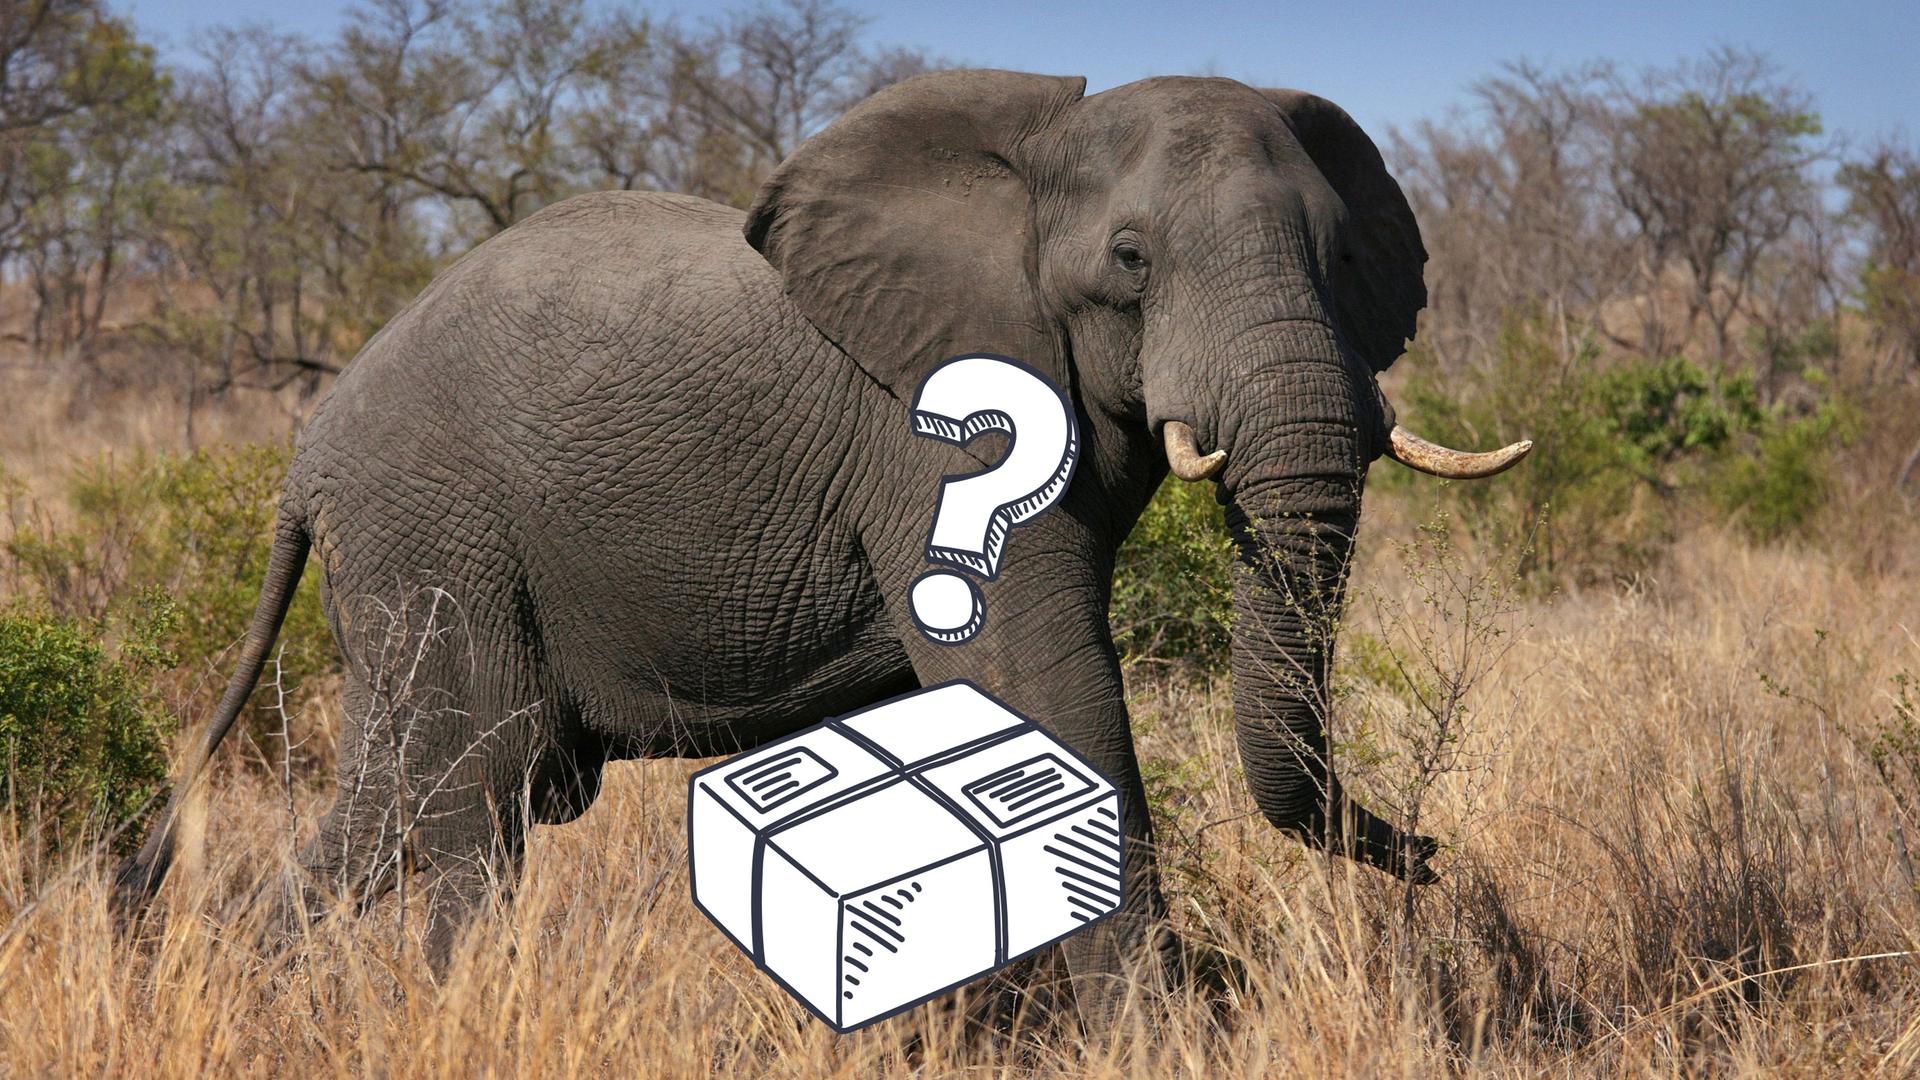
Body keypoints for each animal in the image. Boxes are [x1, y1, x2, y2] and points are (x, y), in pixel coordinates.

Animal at [114, 69, 1529, 1022]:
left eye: (1343, 256)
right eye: (1131, 259)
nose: (1428, 854)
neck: (1033, 150)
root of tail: (304, 458)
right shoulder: (939, 432)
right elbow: (1045, 686)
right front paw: (1168, 1035)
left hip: (412, 559)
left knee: (398, 798)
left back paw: (241, 995)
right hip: (437, 535)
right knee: (477, 788)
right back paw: (450, 1012)